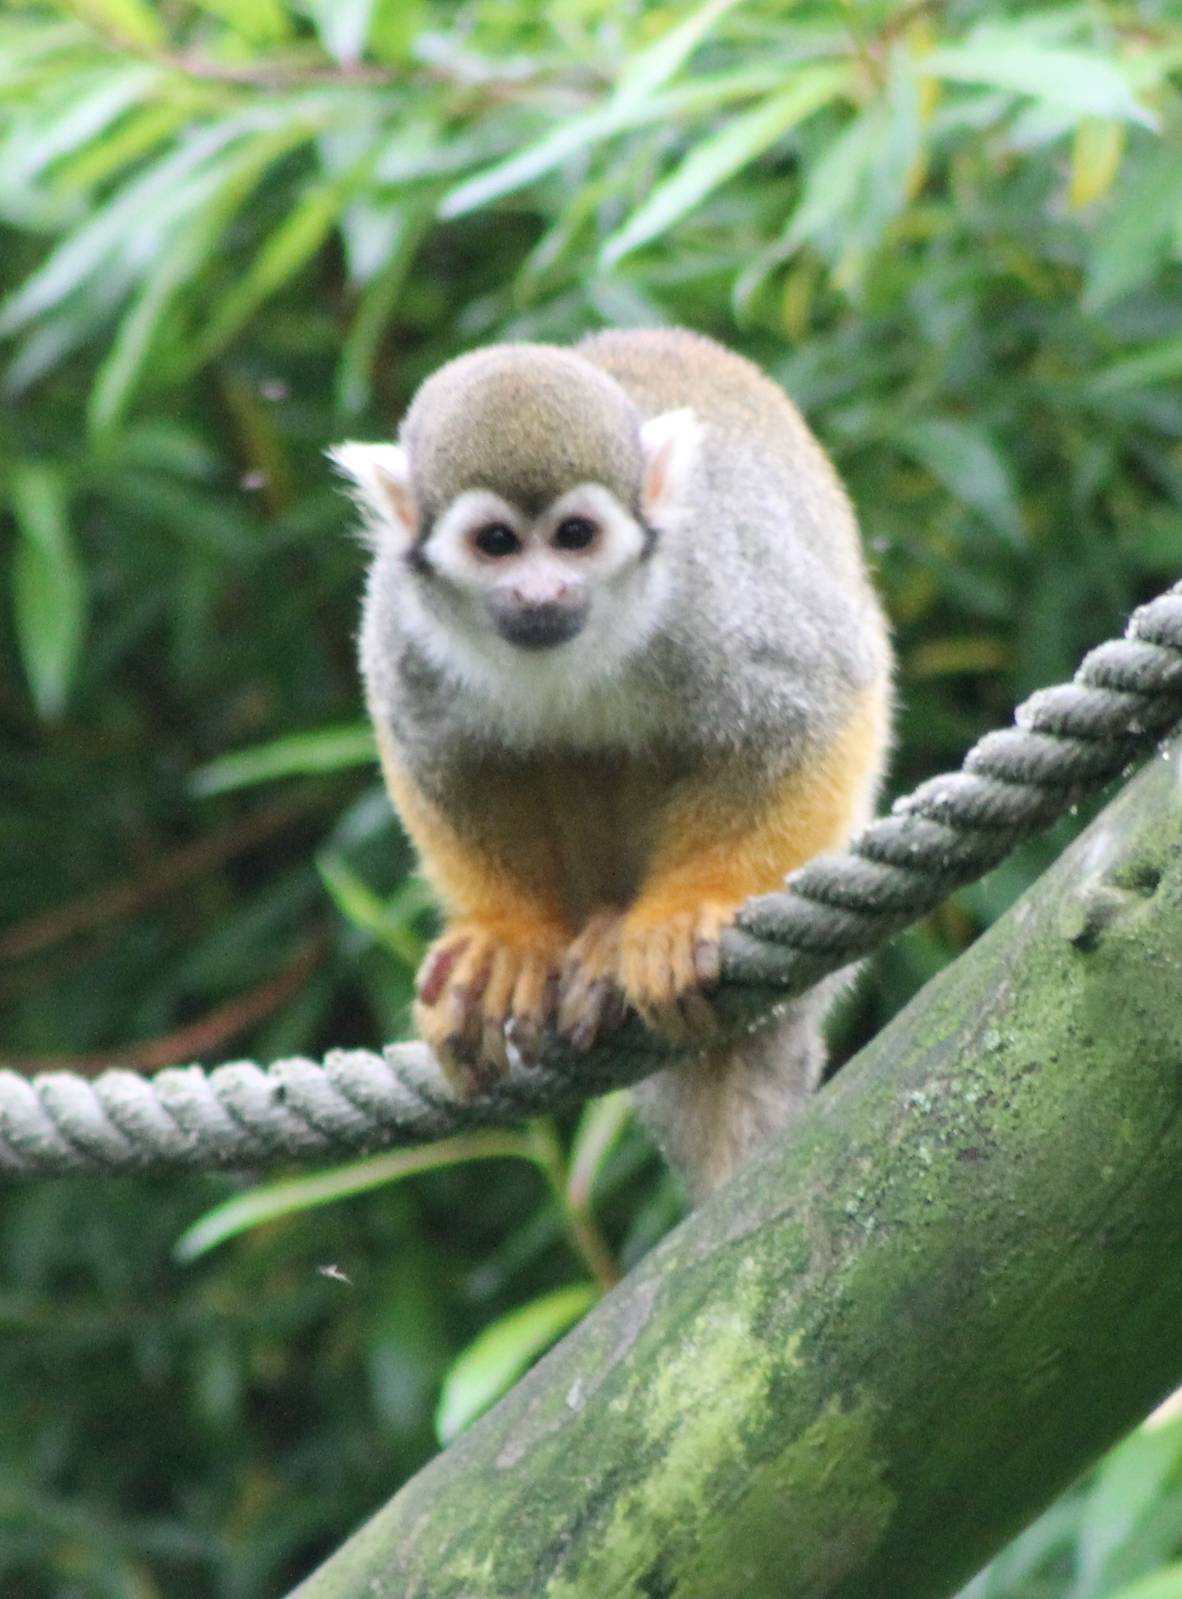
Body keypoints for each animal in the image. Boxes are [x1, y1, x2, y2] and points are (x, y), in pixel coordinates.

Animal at [331, 328, 892, 1198]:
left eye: (575, 536)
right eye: (497, 543)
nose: (540, 593)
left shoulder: (708, 586)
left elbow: (813, 705)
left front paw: (682, 912)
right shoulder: (401, 621)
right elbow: (438, 753)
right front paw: (508, 938)